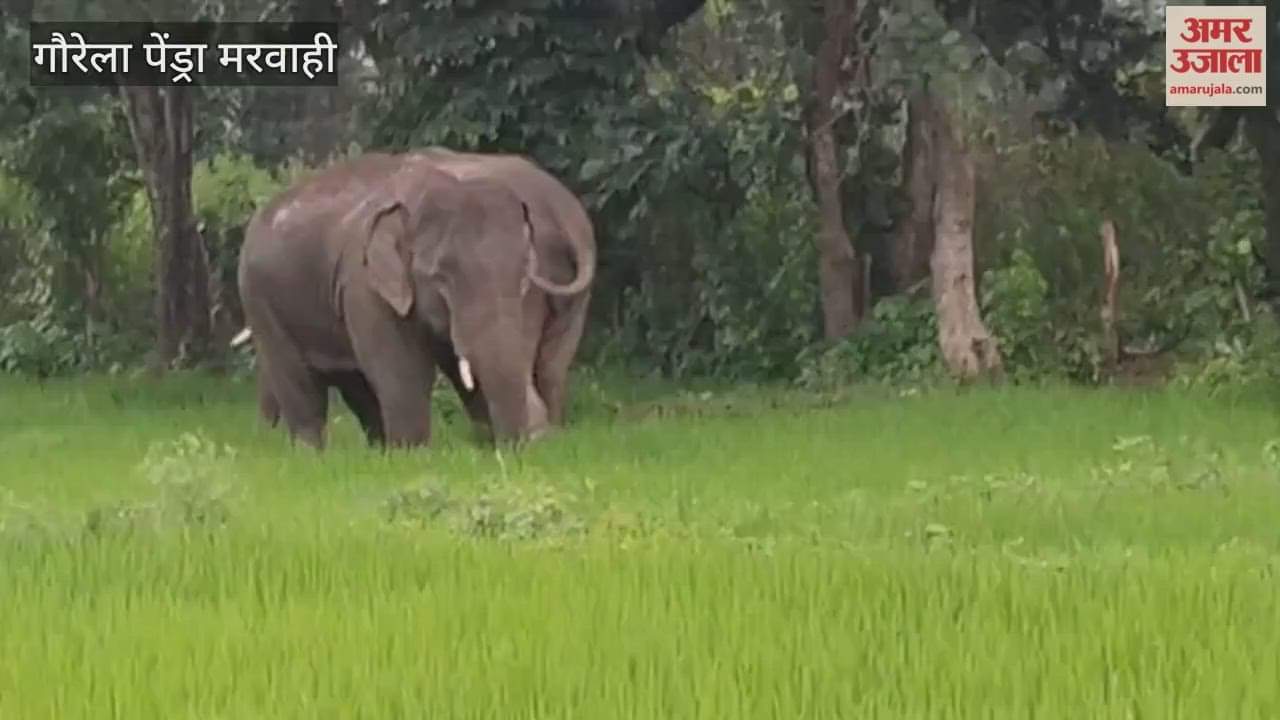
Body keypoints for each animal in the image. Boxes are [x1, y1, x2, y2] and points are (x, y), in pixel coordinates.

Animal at [233, 150, 597, 450]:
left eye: (524, 277)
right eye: (441, 277)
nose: (518, 448)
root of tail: (564, 210)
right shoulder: (365, 285)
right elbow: (404, 370)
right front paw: (413, 455)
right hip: (259, 298)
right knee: (300, 382)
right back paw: (315, 458)